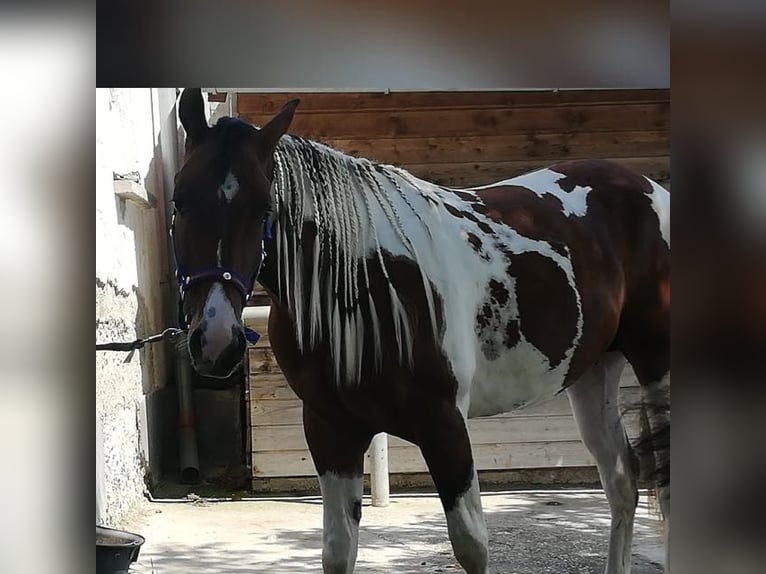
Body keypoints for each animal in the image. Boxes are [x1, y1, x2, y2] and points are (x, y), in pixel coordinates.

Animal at [171, 90, 668, 574]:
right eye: (179, 199)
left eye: (264, 208)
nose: (216, 341)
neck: (363, 285)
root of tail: (648, 187)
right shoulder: (331, 430)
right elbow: (337, 550)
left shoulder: (444, 426)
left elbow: (471, 546)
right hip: (593, 373)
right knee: (623, 483)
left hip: (654, 364)